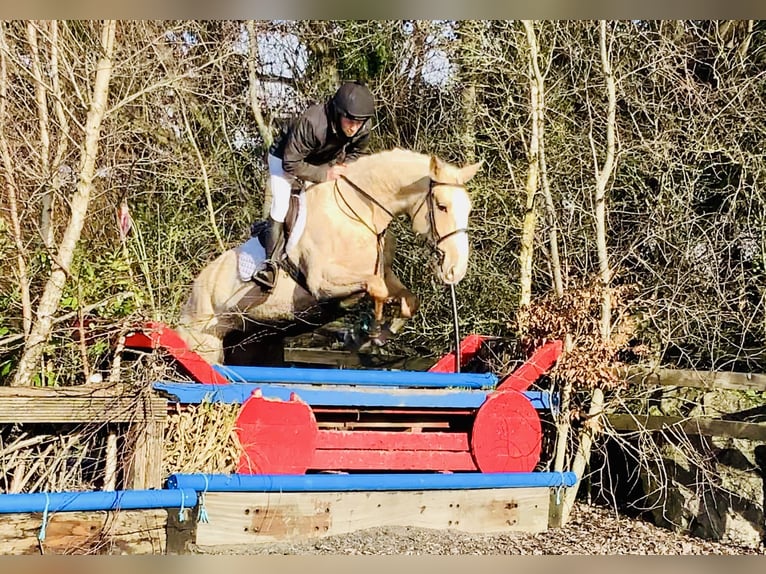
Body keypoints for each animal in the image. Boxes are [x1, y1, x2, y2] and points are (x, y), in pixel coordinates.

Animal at [175, 148, 482, 365]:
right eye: (441, 206)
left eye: (468, 209)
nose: (455, 270)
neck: (360, 213)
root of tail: (191, 296)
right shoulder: (322, 282)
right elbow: (377, 290)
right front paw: (365, 333)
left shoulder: (382, 273)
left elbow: (408, 299)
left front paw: (379, 335)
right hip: (204, 342)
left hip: (251, 342)